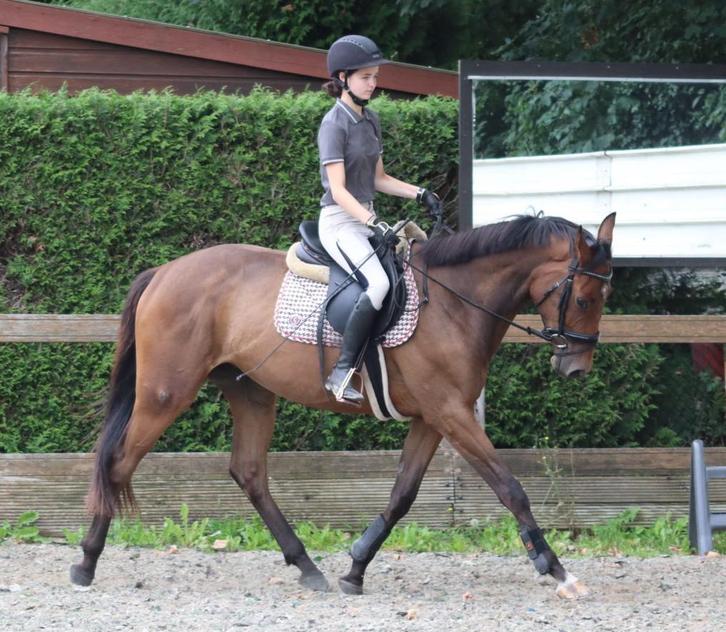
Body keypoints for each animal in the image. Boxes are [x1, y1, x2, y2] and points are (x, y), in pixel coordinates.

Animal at [70, 212, 615, 599]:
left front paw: (355, 568)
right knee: (118, 463)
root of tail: (164, 272)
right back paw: (86, 562)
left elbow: (402, 495)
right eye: (585, 298)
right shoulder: (451, 413)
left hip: (251, 392)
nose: (577, 368)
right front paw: (556, 569)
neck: (454, 302)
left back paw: (307, 566)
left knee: (249, 473)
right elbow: (511, 488)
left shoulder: (433, 418)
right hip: (166, 392)